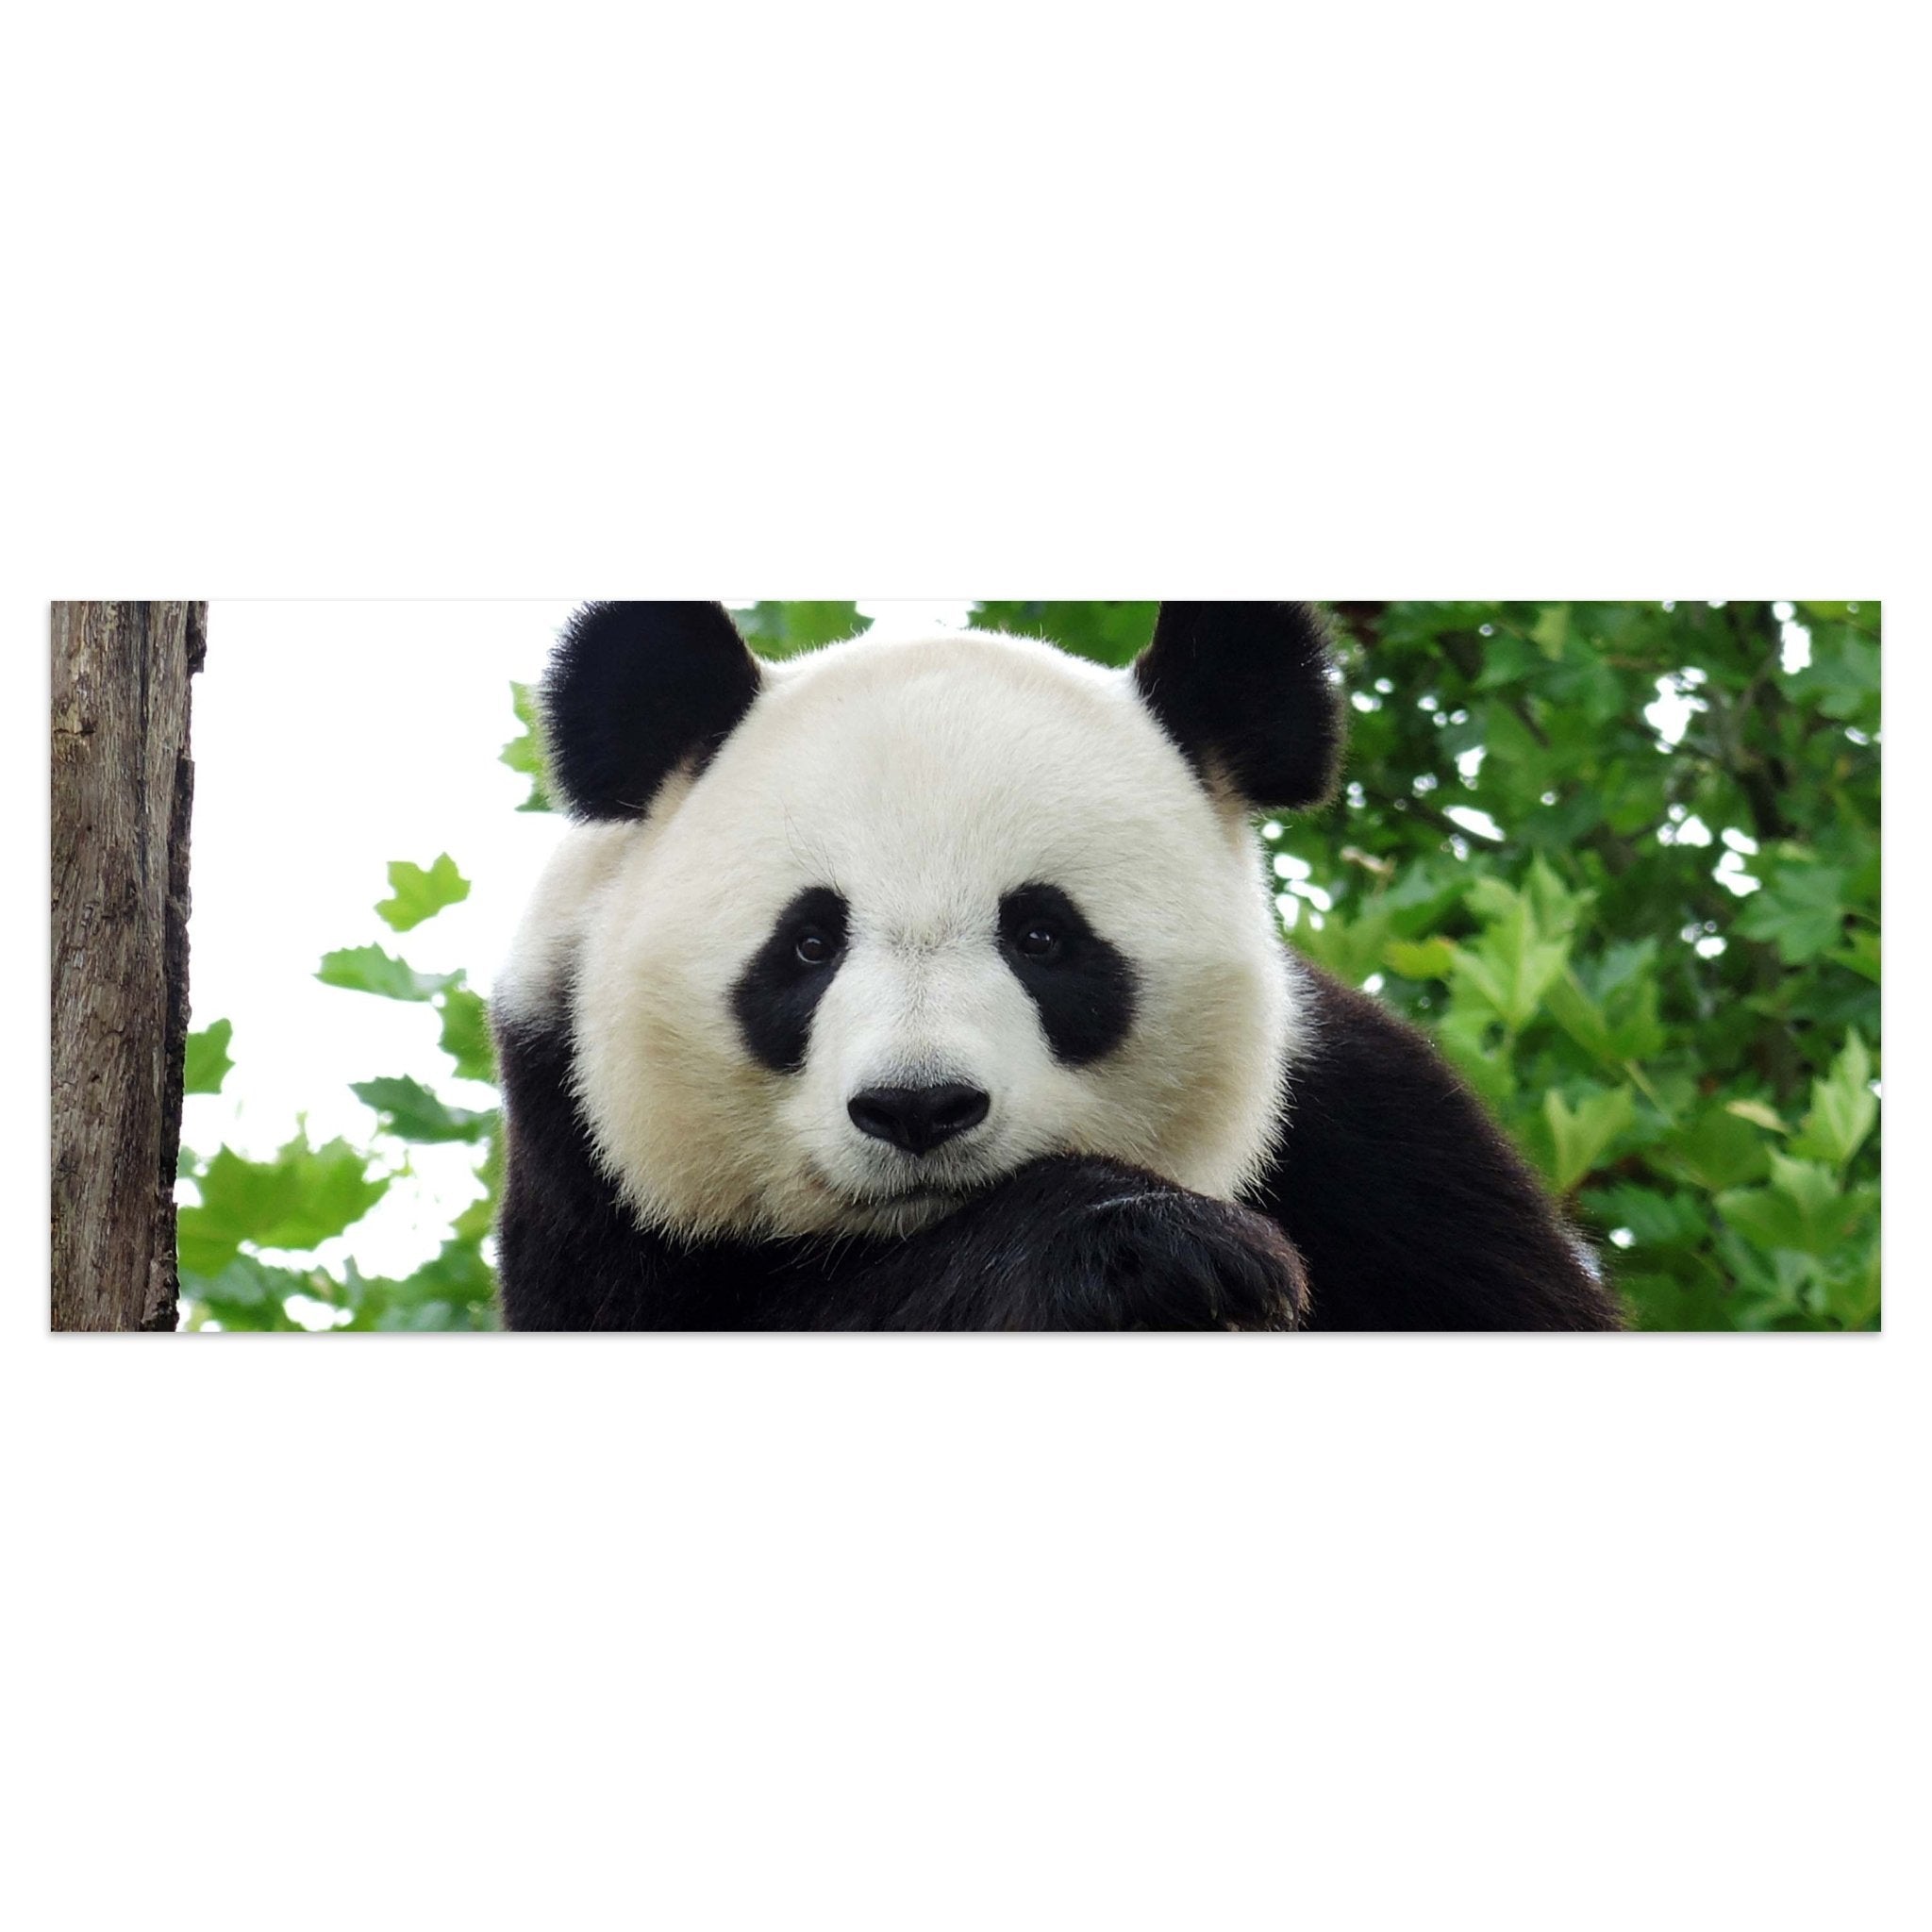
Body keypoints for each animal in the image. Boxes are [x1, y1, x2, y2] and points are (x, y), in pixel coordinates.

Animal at [491, 600, 1622, 1331]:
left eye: (1042, 936)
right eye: (808, 944)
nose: (919, 1108)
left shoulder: (1383, 1151)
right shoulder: (583, 1157)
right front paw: (1145, 1249)